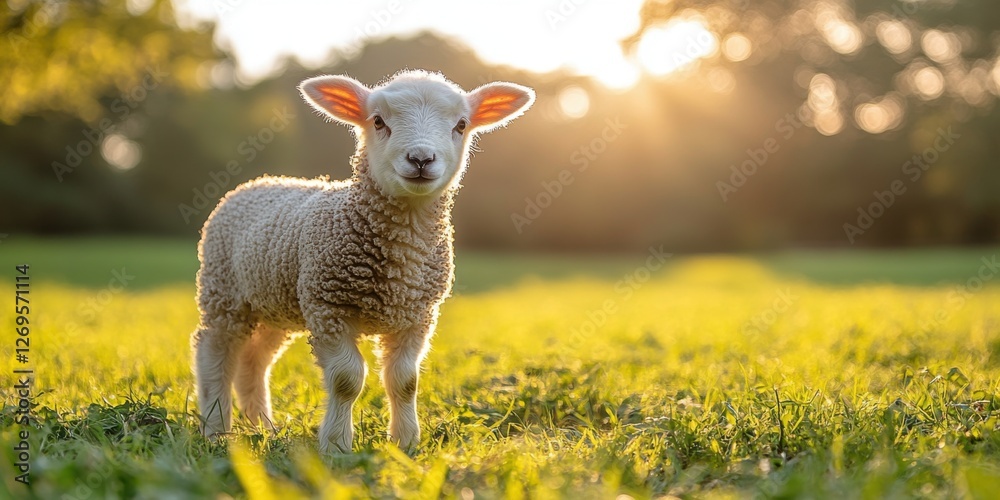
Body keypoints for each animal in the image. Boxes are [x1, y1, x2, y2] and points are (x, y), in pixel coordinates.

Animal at [191, 70, 534, 453]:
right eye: (378, 121)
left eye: (461, 125)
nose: (421, 159)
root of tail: (258, 182)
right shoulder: (328, 307)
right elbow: (346, 379)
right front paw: (337, 446)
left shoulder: (417, 316)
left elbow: (405, 381)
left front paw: (405, 443)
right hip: (224, 291)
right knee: (214, 352)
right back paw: (216, 429)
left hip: (273, 304)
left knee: (254, 360)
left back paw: (263, 427)